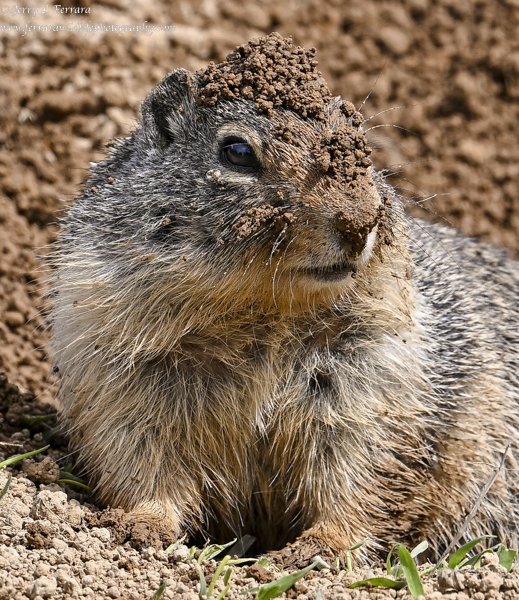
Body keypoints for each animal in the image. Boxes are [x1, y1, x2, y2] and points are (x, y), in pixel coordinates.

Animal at [50, 35, 519, 564]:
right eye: (236, 151)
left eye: (361, 148)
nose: (360, 222)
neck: (262, 311)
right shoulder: (121, 368)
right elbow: (141, 459)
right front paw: (141, 526)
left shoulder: (376, 374)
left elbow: (361, 469)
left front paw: (320, 548)